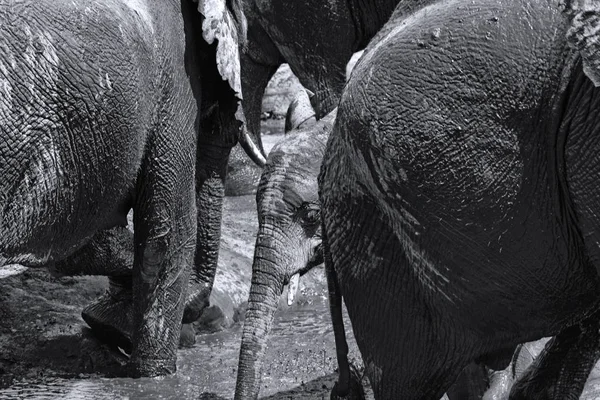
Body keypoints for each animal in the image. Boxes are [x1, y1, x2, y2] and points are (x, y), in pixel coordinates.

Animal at [0, 0, 247, 378]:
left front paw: (109, 326)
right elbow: (168, 233)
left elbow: (80, 234)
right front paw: (154, 377)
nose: (197, 315)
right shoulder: (175, 78)